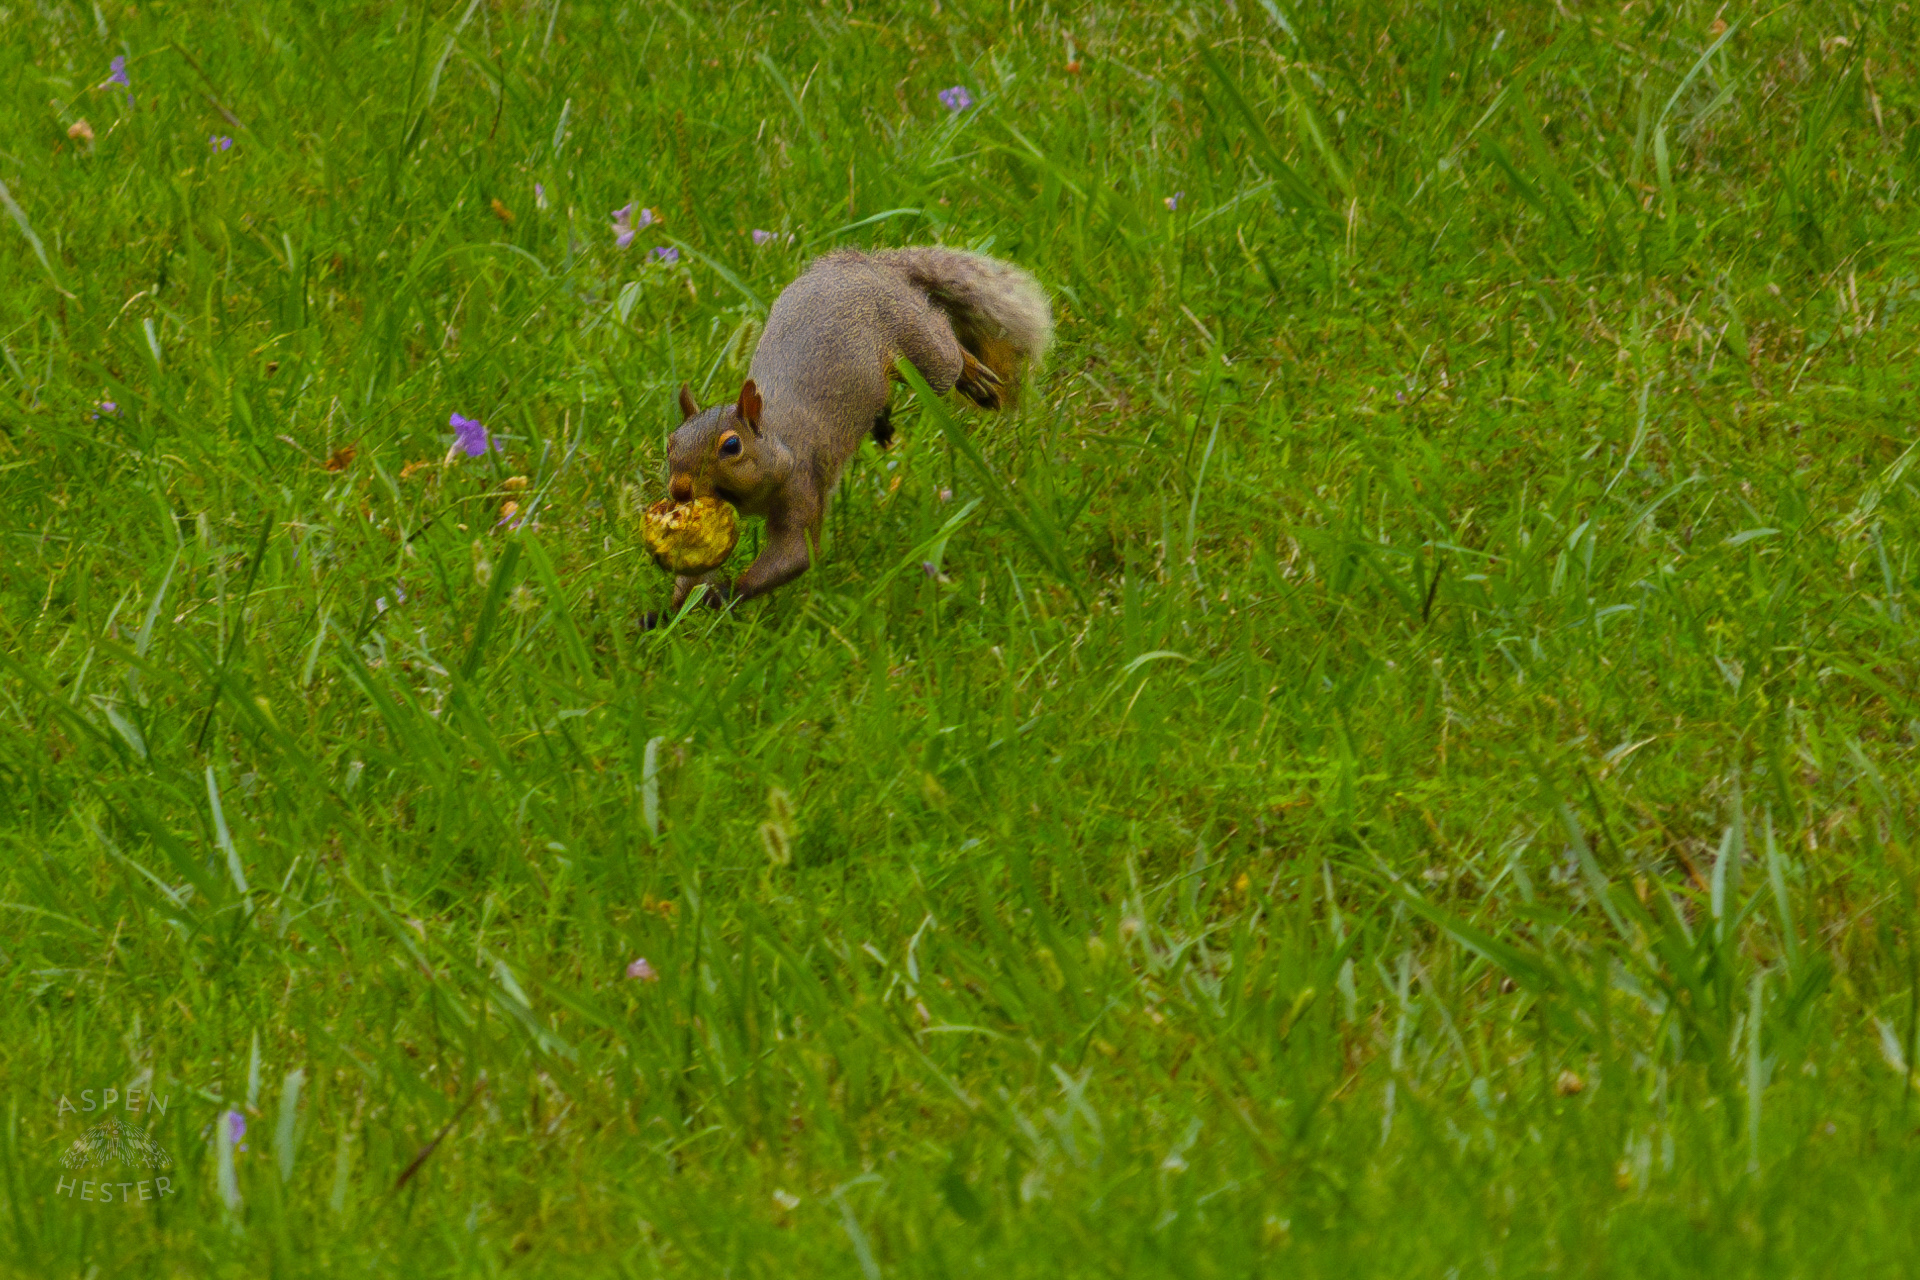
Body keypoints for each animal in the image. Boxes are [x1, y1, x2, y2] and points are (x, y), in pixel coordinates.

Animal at [654, 245, 1052, 616]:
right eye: (670, 443)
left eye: (732, 446)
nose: (680, 489)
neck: (779, 446)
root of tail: (872, 265)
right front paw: (670, 611)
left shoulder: (802, 484)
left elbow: (794, 553)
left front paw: (726, 595)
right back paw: (883, 421)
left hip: (921, 343)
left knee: (944, 342)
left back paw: (972, 373)